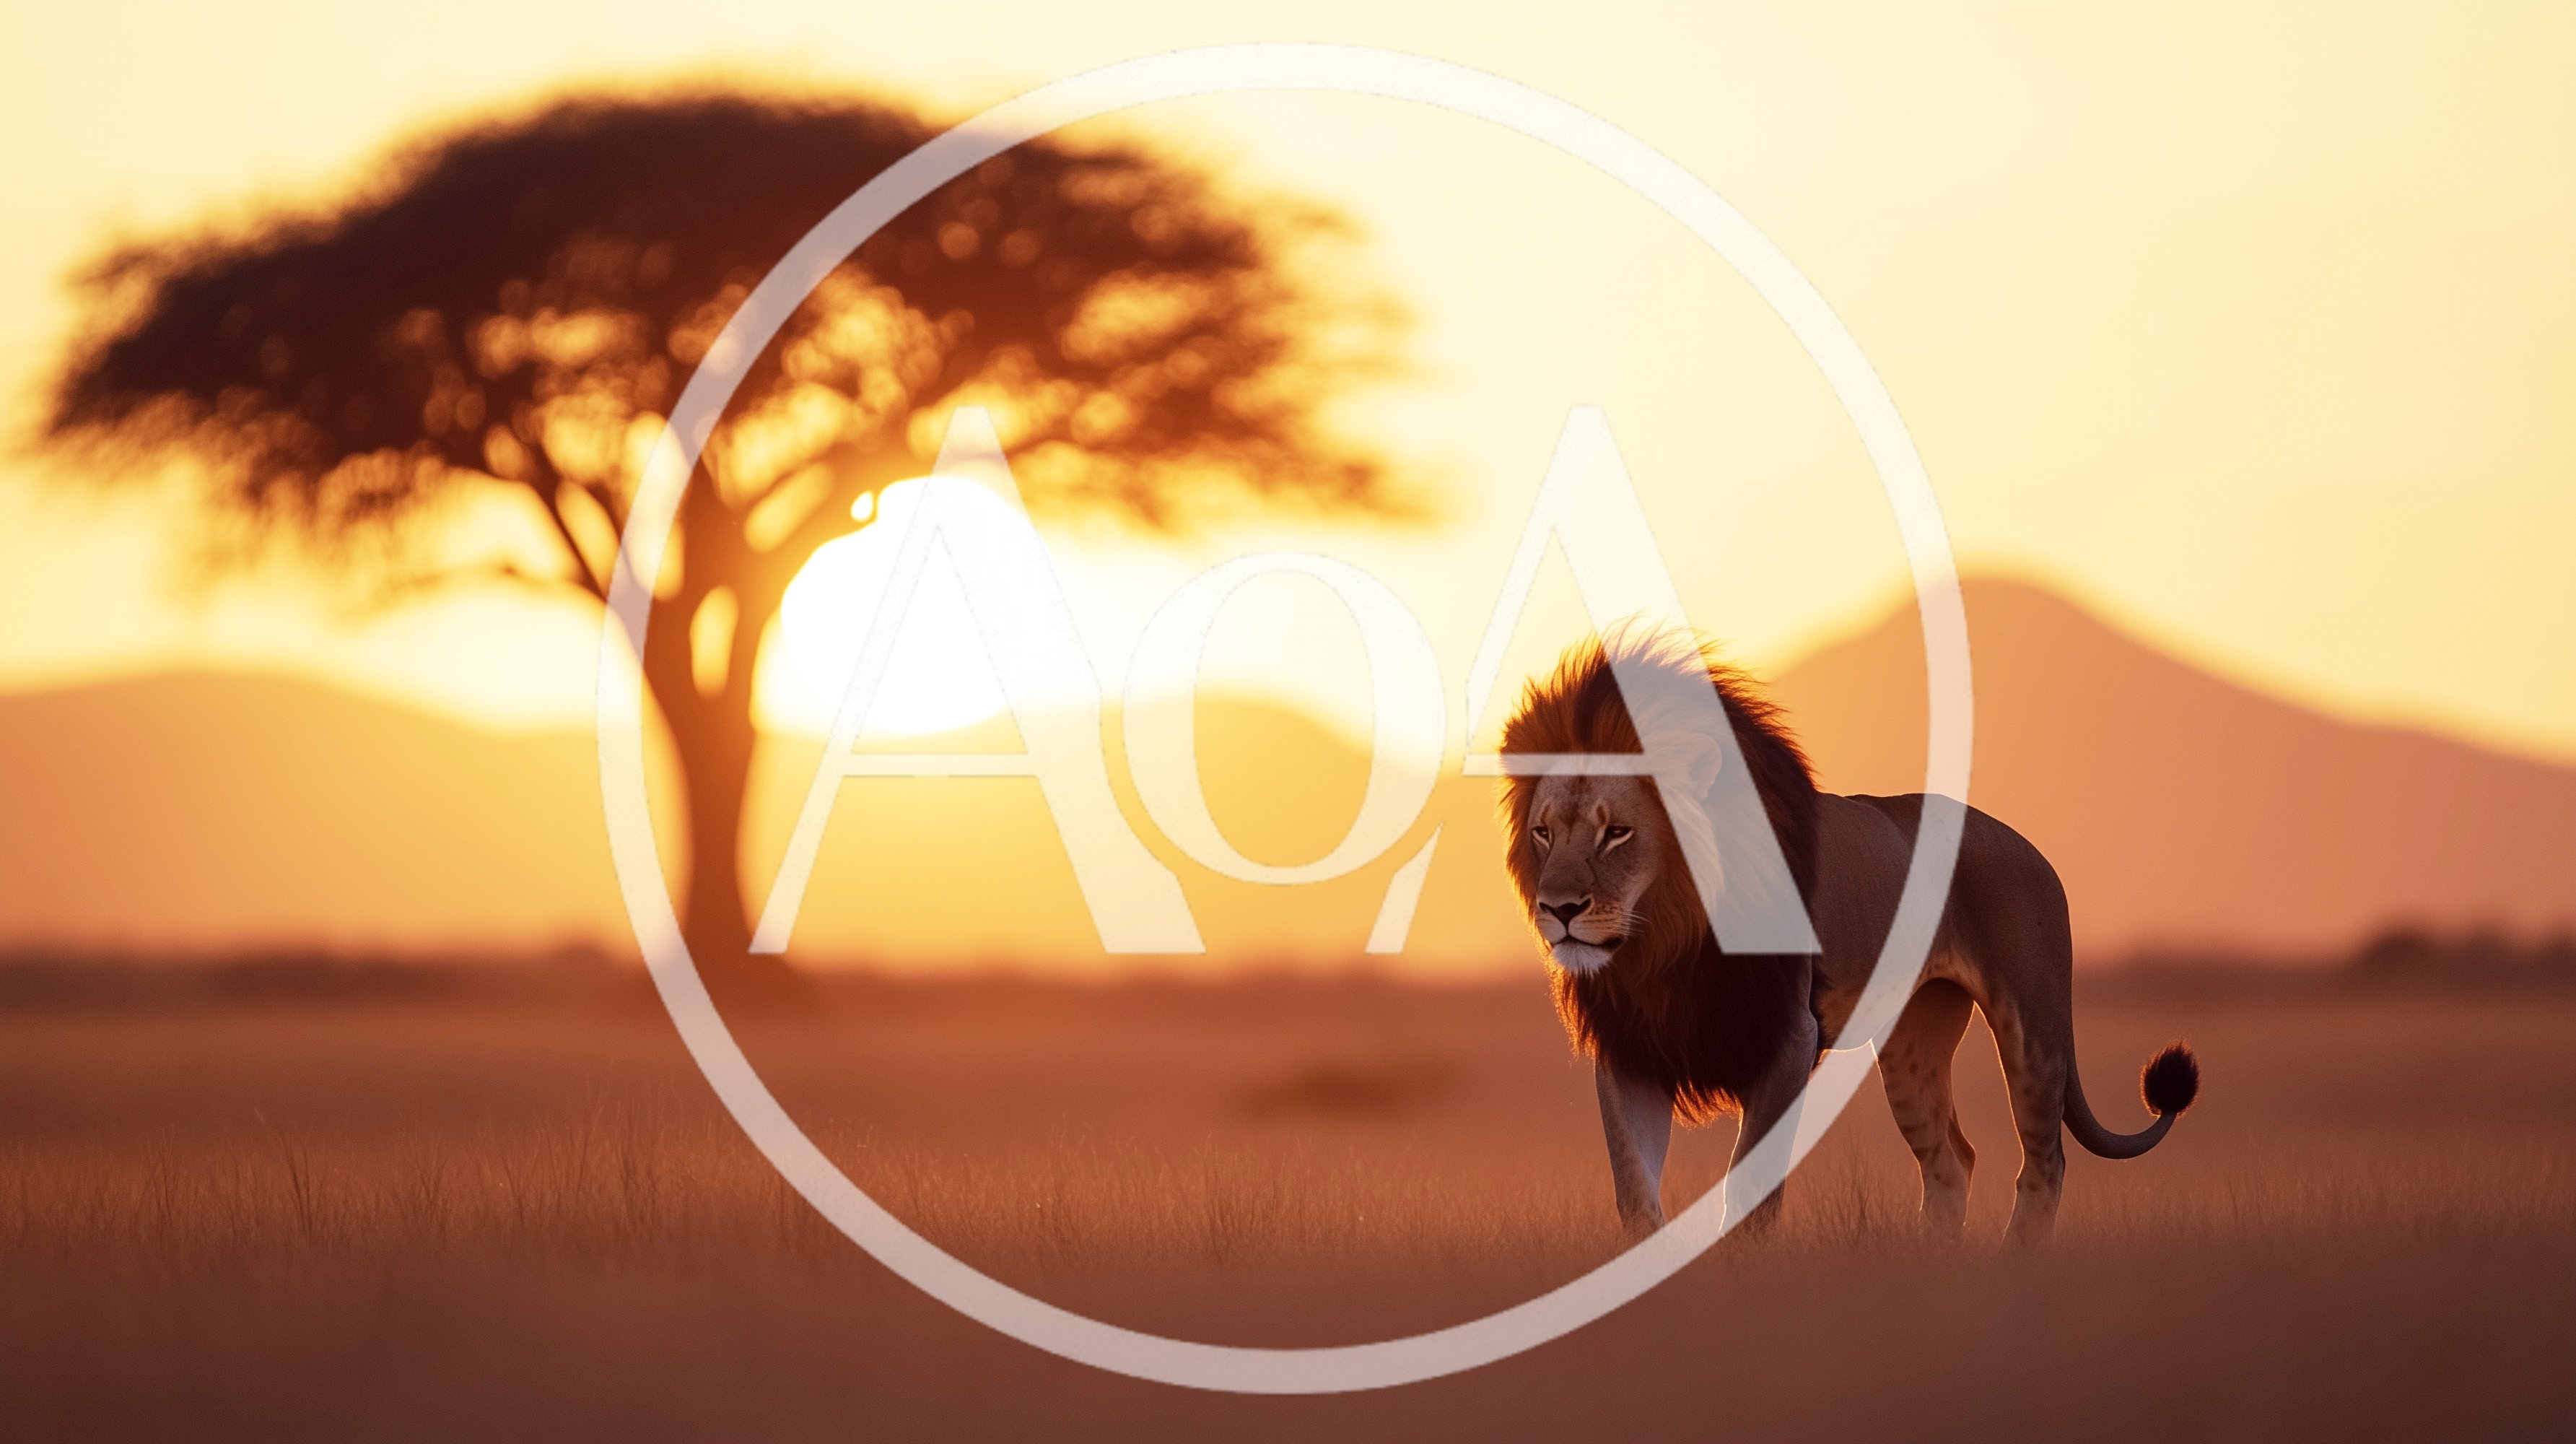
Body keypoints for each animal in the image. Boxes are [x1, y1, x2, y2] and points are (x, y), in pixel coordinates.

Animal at [1500, 629, 2198, 1244]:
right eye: (1544, 832)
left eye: (1616, 833)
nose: (1559, 908)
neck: (1661, 944)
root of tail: (2031, 848)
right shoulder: (1632, 1048)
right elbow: (1635, 1190)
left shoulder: (1789, 1037)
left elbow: (1749, 1187)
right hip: (1912, 1044)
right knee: (1951, 1162)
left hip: (2032, 1025)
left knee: (2044, 1161)